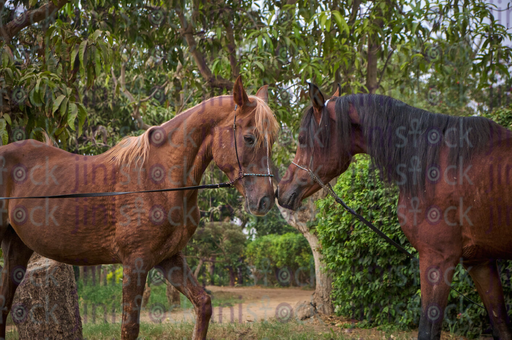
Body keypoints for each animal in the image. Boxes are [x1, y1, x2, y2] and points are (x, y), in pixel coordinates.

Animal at [1, 77, 280, 340]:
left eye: (272, 141)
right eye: (249, 138)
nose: (265, 200)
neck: (157, 179)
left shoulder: (169, 258)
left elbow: (204, 304)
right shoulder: (135, 262)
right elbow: (129, 328)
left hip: (17, 247)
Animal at [278, 83, 512, 340]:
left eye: (301, 138)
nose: (281, 191)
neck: (436, 165)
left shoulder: (438, 258)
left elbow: (428, 331)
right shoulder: (480, 261)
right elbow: (501, 326)